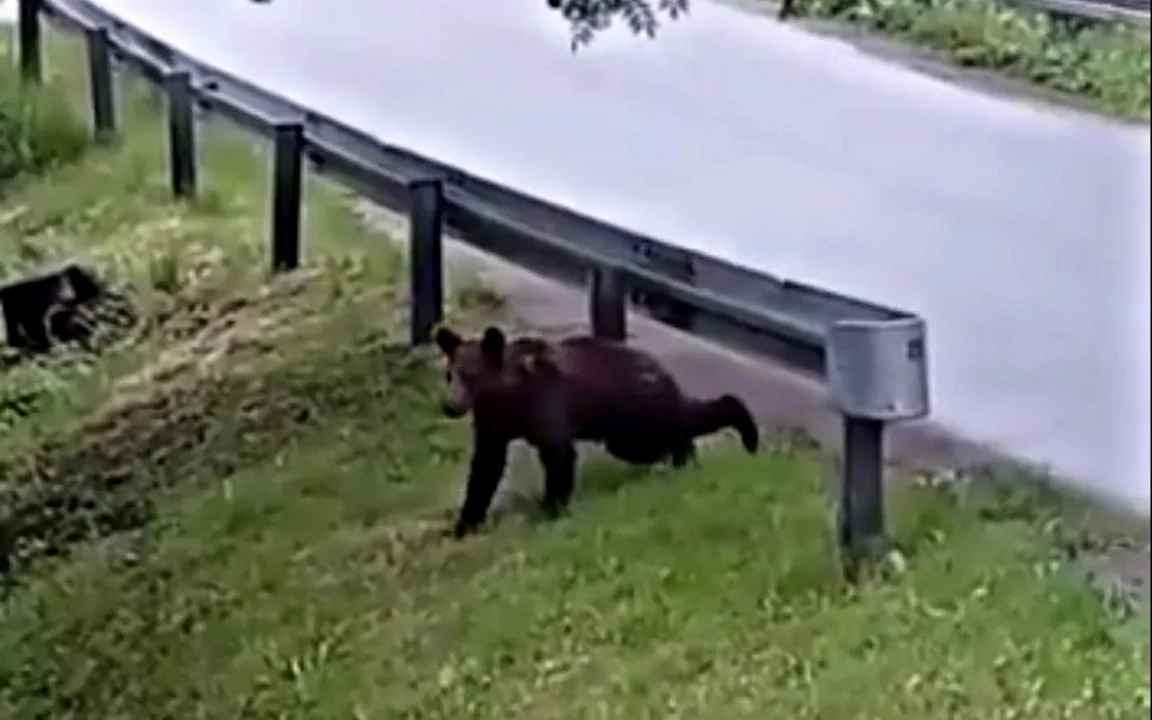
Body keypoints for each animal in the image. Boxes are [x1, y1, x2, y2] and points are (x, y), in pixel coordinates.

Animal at [430, 322, 755, 536]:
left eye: (471, 374)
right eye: (449, 373)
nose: (450, 405)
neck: (508, 397)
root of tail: (663, 371)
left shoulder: (546, 407)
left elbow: (559, 456)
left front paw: (551, 509)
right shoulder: (493, 425)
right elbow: (485, 468)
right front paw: (465, 522)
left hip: (635, 418)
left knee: (677, 426)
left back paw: (736, 432)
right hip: (626, 430)